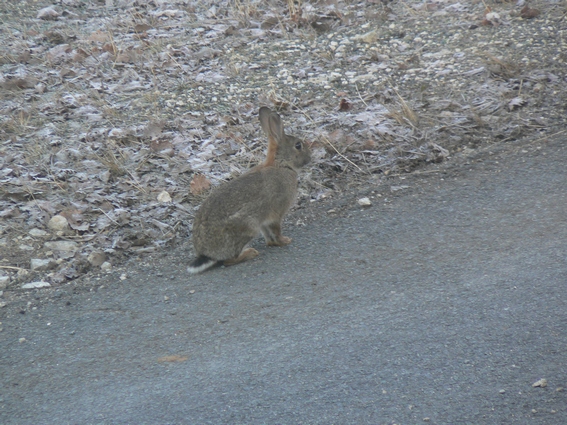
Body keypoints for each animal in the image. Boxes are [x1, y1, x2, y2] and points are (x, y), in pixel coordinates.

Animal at [187, 105, 310, 272]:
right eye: (298, 145)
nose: (309, 158)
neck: (281, 165)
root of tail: (206, 253)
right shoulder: (276, 213)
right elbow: (276, 229)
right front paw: (285, 241)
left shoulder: (264, 220)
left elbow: (268, 234)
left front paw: (274, 243)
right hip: (248, 226)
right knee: (228, 260)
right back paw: (250, 252)